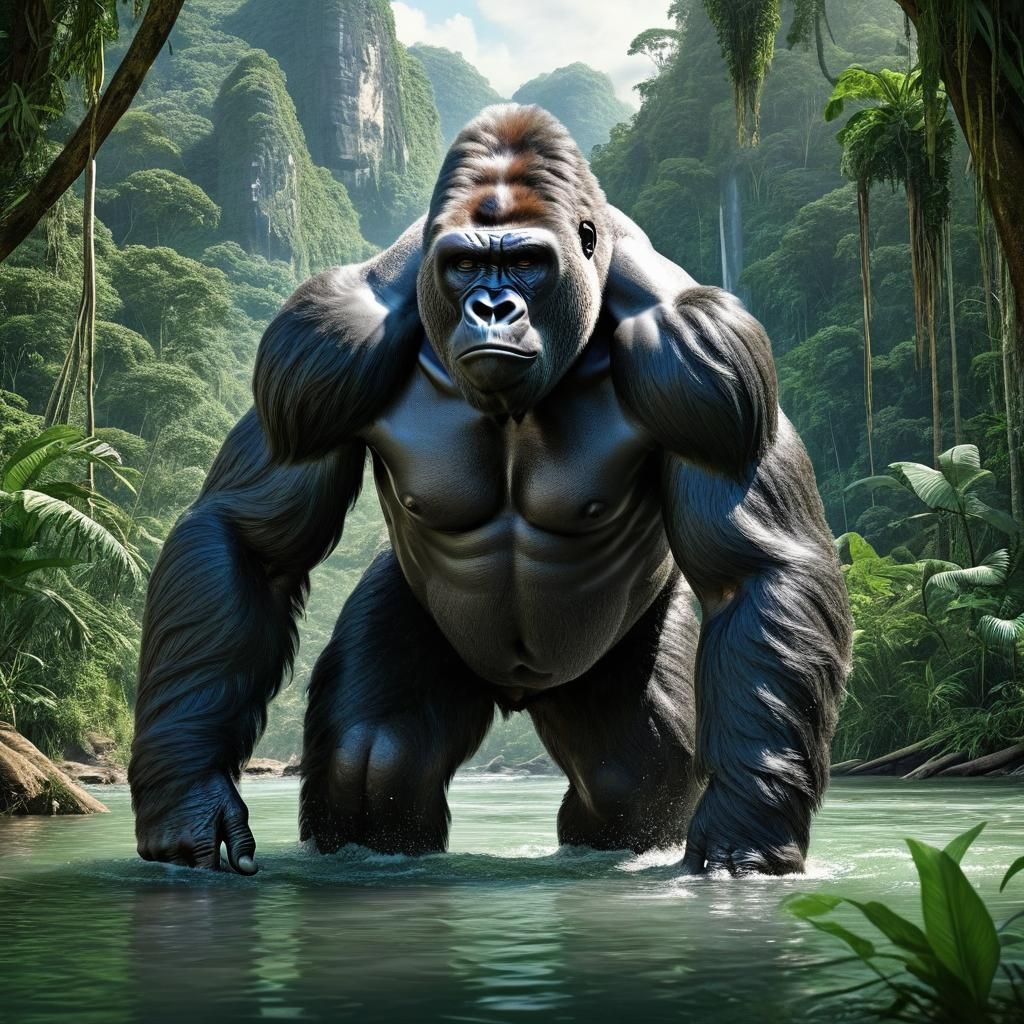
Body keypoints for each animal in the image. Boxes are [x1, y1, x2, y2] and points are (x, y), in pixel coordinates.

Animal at [129, 104, 851, 877]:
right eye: (468, 264)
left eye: (527, 262)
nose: (493, 306)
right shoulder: (315, 344)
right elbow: (247, 541)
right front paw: (190, 795)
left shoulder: (709, 360)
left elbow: (756, 569)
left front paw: (746, 827)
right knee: (375, 755)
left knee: (632, 774)